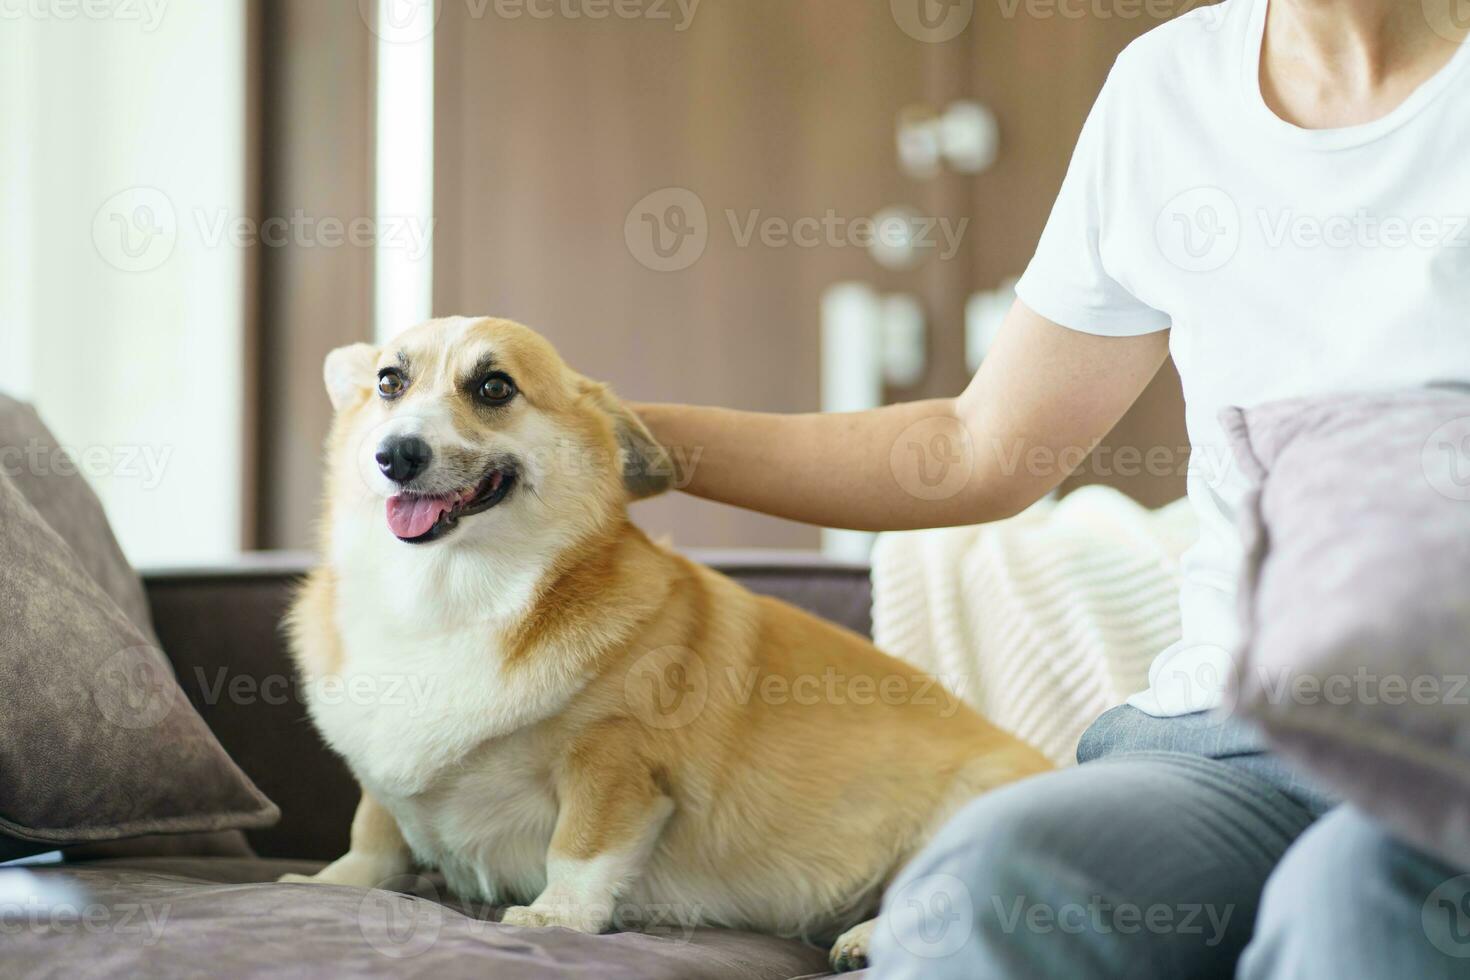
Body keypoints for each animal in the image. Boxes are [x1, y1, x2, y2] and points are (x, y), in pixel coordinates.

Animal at [277, 318, 1058, 969]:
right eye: (389, 381)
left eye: (495, 386)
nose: (396, 455)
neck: (445, 596)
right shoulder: (382, 774)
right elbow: (374, 830)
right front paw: (329, 883)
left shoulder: (615, 762)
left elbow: (579, 847)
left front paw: (555, 917)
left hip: (966, 811)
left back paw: (867, 936)